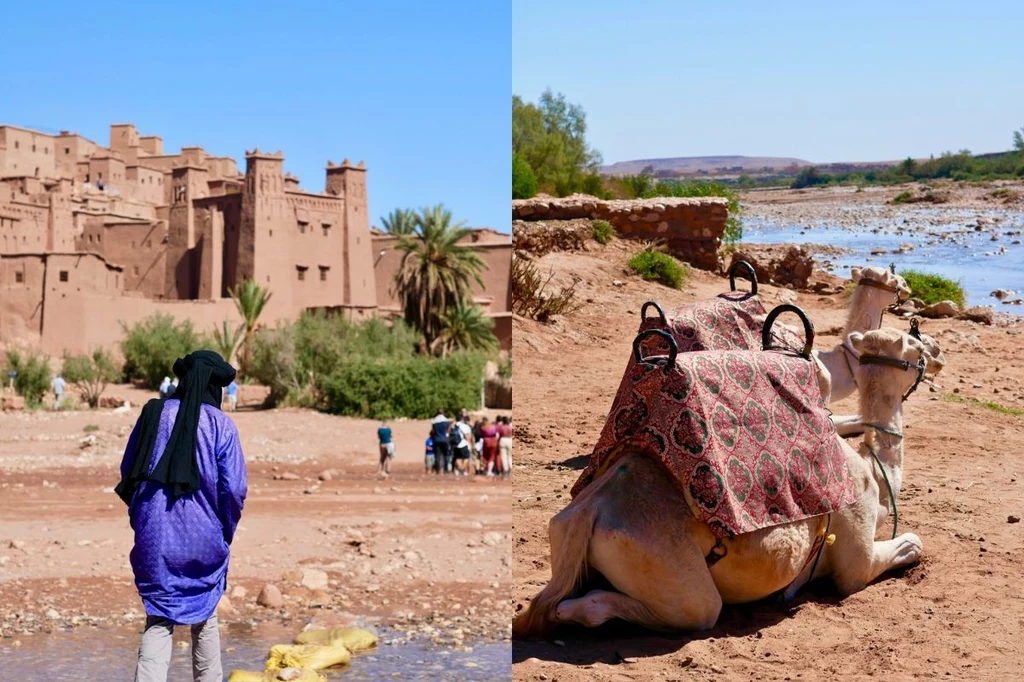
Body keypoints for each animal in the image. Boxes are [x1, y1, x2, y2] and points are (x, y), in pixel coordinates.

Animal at [516, 327, 937, 634]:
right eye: (915, 346)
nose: (937, 352)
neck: (873, 471)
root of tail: (589, 510)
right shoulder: (856, 554)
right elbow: (907, 545)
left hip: (565, 535)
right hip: (678, 583)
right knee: (691, 609)